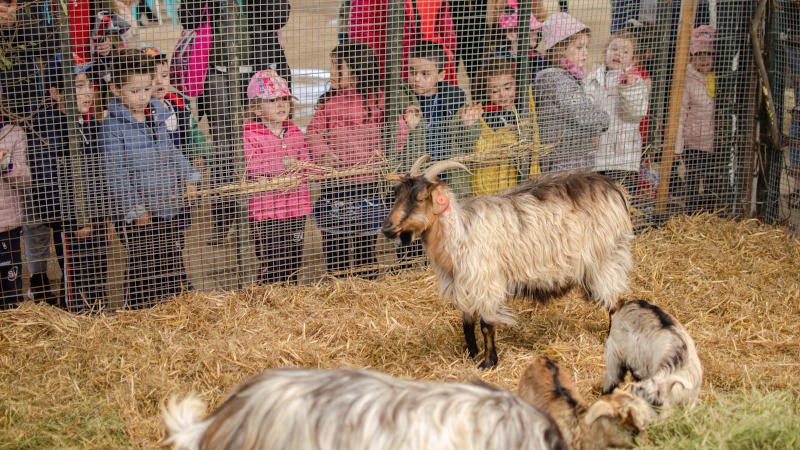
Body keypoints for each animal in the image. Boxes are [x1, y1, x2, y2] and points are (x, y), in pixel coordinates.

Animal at [384, 156, 636, 368]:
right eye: (395, 196)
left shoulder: (485, 282)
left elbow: (486, 325)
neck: (459, 232)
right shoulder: (463, 284)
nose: (386, 228)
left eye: (419, 198)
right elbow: (467, 322)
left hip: (606, 259)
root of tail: (614, 188)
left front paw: (488, 362)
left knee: (615, 303)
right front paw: (471, 353)